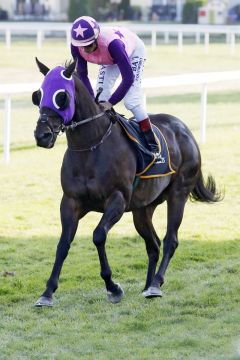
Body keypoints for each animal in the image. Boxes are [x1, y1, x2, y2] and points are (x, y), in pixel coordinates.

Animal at [32, 59, 221, 306]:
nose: (41, 135)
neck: (91, 146)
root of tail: (185, 130)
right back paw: (147, 286)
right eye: (38, 95)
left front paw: (113, 287)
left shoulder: (118, 200)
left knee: (170, 240)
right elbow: (63, 243)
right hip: (142, 209)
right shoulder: (70, 202)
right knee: (153, 244)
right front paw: (47, 292)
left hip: (178, 194)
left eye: (61, 97)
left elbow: (98, 235)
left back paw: (155, 284)